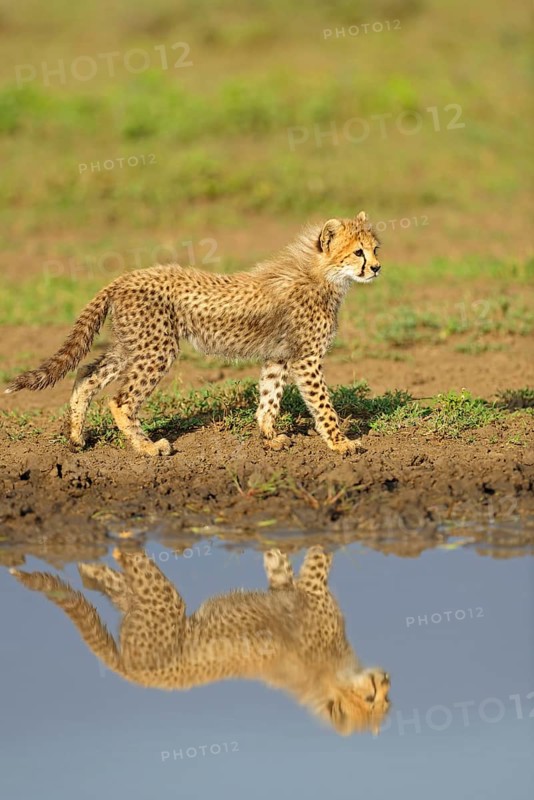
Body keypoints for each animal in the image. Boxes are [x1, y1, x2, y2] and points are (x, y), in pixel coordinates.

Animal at [5, 211, 381, 456]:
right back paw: (147, 448)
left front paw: (268, 435)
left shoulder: (279, 356)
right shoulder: (306, 358)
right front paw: (340, 443)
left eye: (376, 248)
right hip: (157, 348)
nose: (377, 268)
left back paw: (77, 438)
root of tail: (126, 276)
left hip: (131, 344)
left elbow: (269, 396)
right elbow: (323, 405)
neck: (323, 274)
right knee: (121, 399)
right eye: (357, 252)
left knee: (86, 375)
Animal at [11, 545, 391, 735]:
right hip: (164, 603)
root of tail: (133, 675)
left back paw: (91, 569)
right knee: (132, 565)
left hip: (144, 608)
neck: (330, 680)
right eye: (370, 698)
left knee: (116, 588)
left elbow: (278, 566)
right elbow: (320, 554)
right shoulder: (312, 590)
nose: (387, 680)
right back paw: (121, 545)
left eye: (384, 702)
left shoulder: (288, 589)